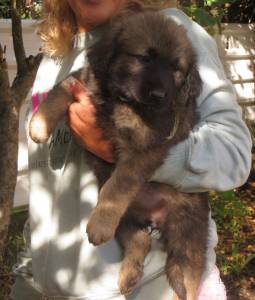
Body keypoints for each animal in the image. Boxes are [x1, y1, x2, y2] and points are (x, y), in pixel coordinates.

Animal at [29, 11, 209, 300]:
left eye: (176, 69)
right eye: (144, 58)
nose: (159, 96)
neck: (123, 100)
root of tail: (155, 218)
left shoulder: (144, 150)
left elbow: (118, 186)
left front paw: (100, 223)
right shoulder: (84, 80)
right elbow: (60, 91)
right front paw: (38, 125)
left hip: (187, 238)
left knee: (188, 278)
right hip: (127, 221)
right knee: (140, 241)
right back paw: (129, 275)